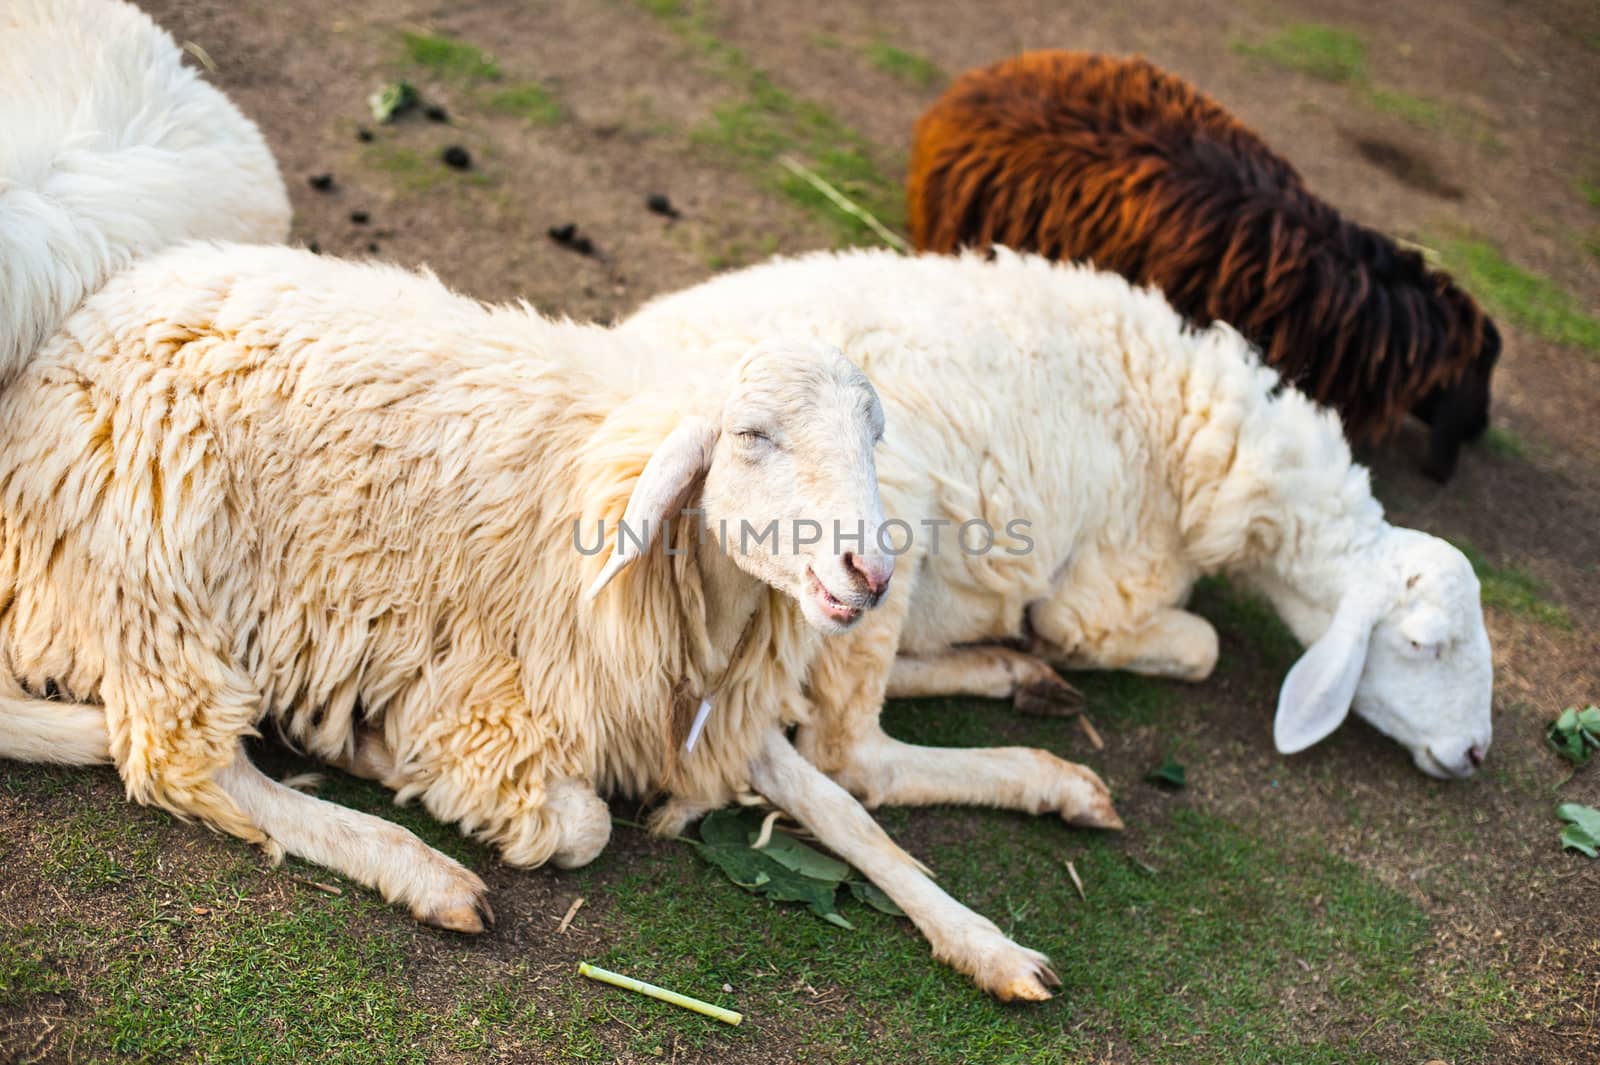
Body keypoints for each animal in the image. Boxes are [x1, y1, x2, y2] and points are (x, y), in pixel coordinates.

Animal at [0, 243, 1113, 1004]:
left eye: (875, 435)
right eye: (752, 435)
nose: (870, 573)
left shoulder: (690, 706)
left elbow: (849, 814)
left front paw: (987, 941)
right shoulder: (498, 705)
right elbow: (581, 826)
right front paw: (405, 766)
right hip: (157, 586)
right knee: (184, 762)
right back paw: (419, 865)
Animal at [617, 244, 1491, 799]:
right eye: (1424, 643)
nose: (1476, 752)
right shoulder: (1105, 595)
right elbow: (1198, 646)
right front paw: (1059, 651)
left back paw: (1012, 671)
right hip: (872, 541)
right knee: (851, 755)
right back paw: (1054, 775)